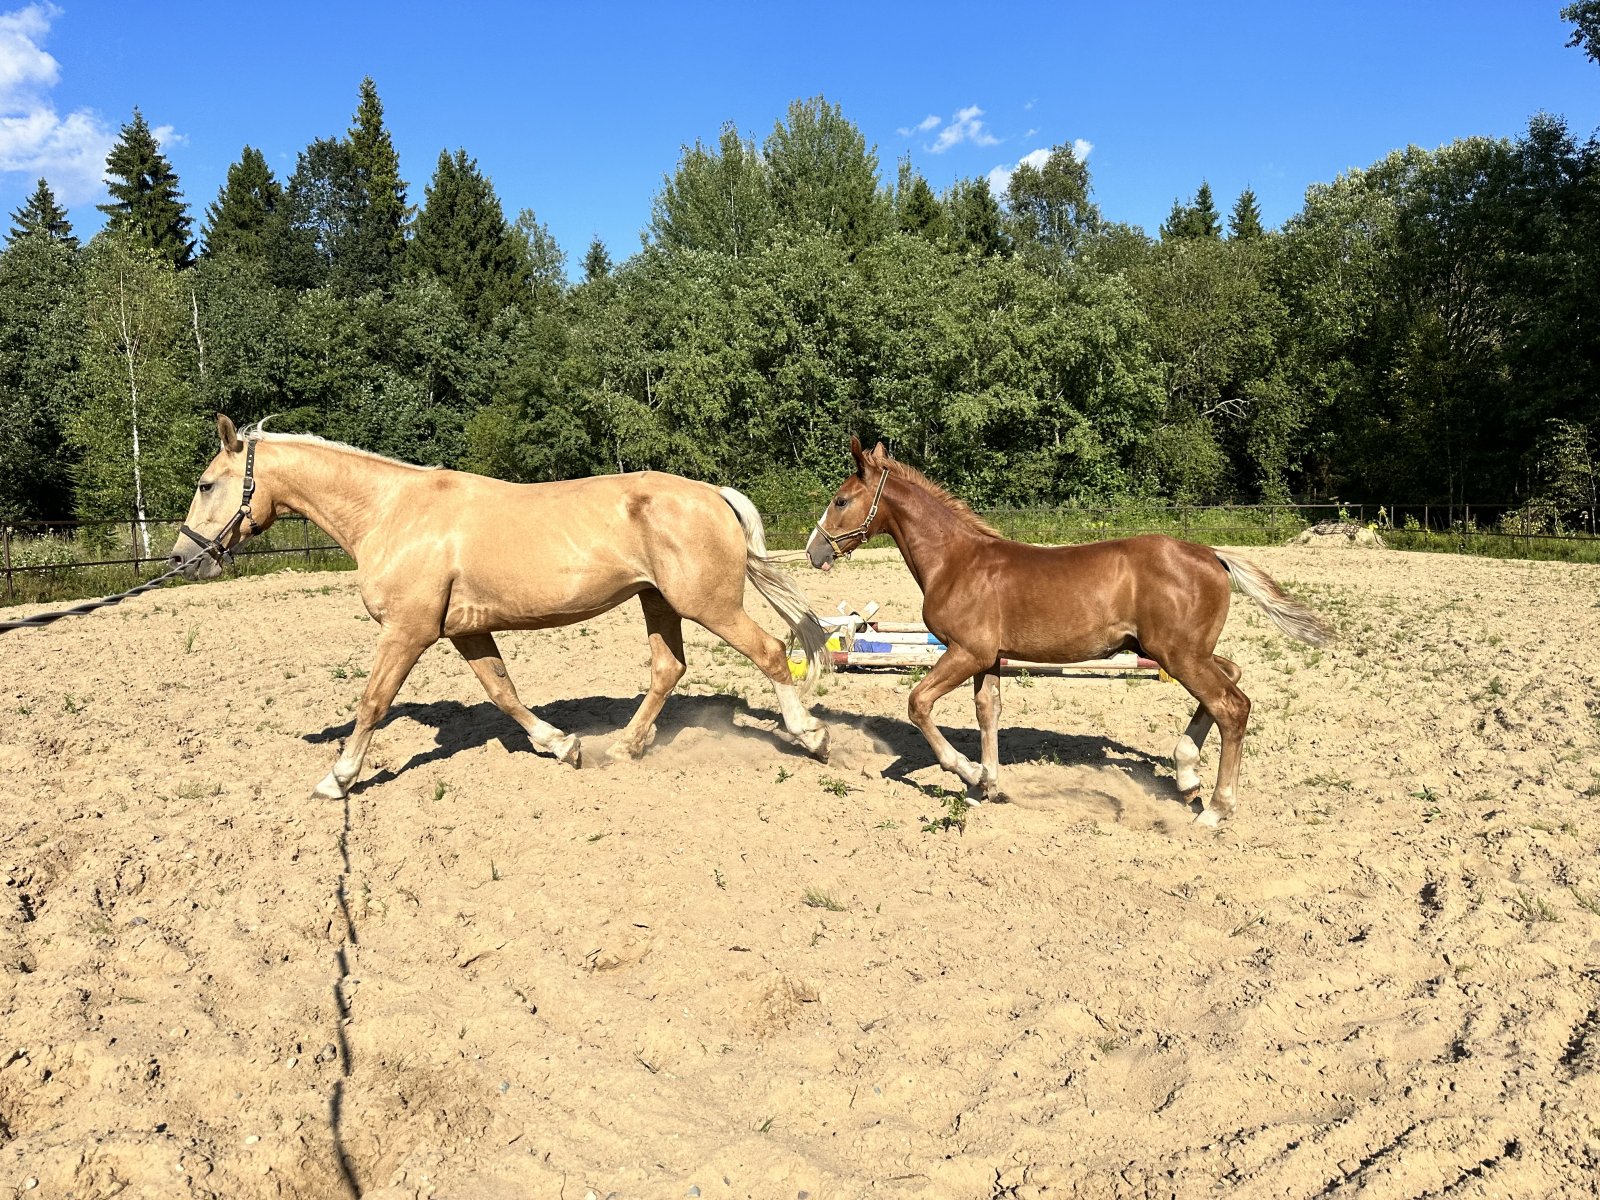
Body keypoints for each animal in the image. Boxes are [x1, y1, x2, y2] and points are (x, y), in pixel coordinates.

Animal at [171, 415, 831, 799]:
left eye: (206, 484)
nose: (185, 557)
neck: (392, 512)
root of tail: (712, 493)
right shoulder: (464, 631)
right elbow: (503, 692)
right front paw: (562, 745)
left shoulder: (406, 632)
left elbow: (372, 701)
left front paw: (336, 780)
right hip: (659, 603)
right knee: (668, 669)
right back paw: (623, 747)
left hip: (707, 604)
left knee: (771, 653)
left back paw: (811, 736)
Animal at [806, 438, 1331, 825]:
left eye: (840, 500)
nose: (814, 551)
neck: (957, 562)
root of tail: (1213, 555)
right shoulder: (988, 658)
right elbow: (988, 712)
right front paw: (988, 786)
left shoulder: (965, 651)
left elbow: (918, 704)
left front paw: (970, 773)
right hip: (1184, 653)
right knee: (1232, 677)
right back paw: (1186, 775)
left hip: (1178, 655)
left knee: (1232, 705)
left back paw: (1215, 809)